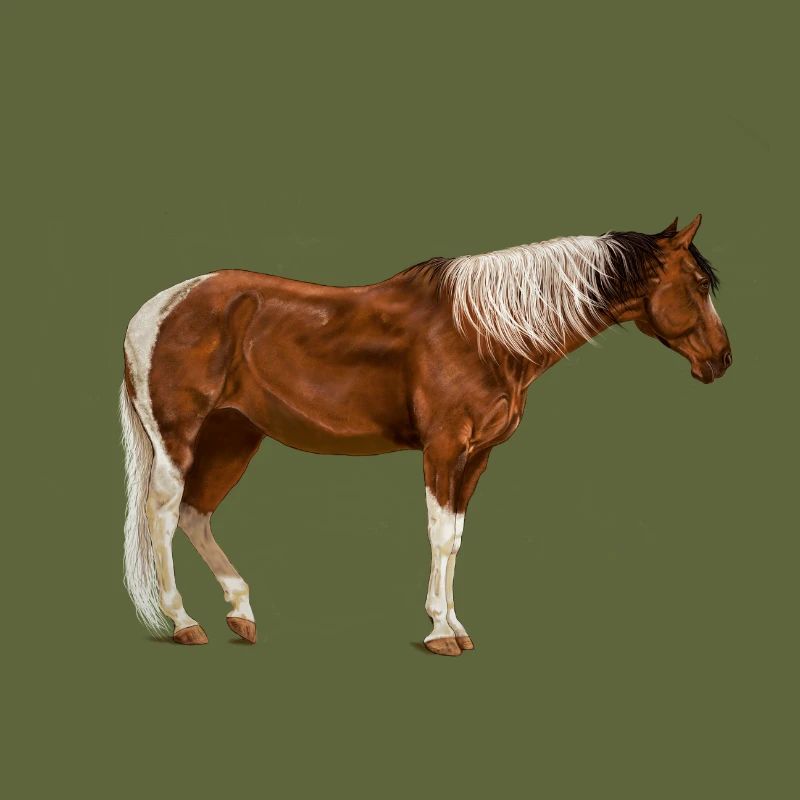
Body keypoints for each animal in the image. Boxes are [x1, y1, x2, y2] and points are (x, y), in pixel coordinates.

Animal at [120, 214, 731, 655]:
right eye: (700, 283)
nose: (722, 361)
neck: (484, 332)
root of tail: (154, 310)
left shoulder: (477, 457)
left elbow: (456, 538)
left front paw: (456, 626)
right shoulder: (444, 448)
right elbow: (439, 536)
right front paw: (441, 634)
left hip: (236, 435)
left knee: (197, 513)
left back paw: (240, 613)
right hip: (180, 437)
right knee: (164, 512)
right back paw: (184, 622)